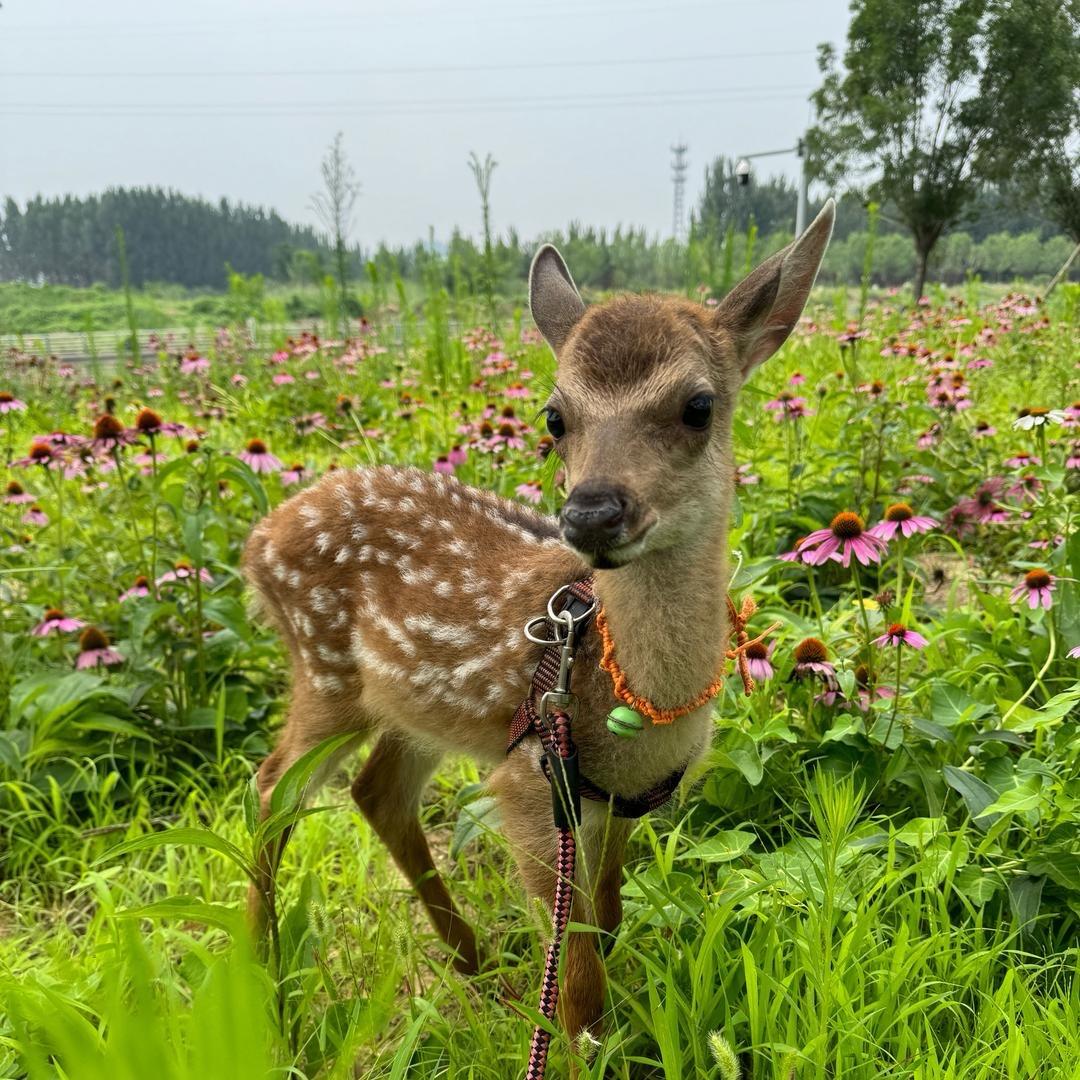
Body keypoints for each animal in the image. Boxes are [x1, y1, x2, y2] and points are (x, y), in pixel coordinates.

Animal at [243, 200, 835, 1060]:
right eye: (555, 416)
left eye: (698, 407)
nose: (591, 511)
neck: (637, 711)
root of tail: (256, 544)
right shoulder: (528, 786)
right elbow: (579, 977)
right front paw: (585, 1046)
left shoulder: (618, 804)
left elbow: (609, 915)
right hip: (326, 674)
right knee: (272, 787)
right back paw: (258, 974)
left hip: (418, 707)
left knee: (376, 790)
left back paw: (472, 960)